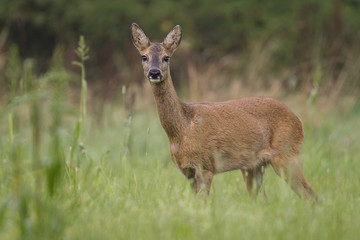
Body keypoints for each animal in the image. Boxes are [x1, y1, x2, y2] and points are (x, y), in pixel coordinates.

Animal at [131, 23, 316, 199]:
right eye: (144, 57)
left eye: (166, 57)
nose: (154, 72)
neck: (182, 129)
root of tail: (299, 122)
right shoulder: (186, 171)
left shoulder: (206, 165)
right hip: (254, 166)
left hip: (286, 154)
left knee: (311, 195)